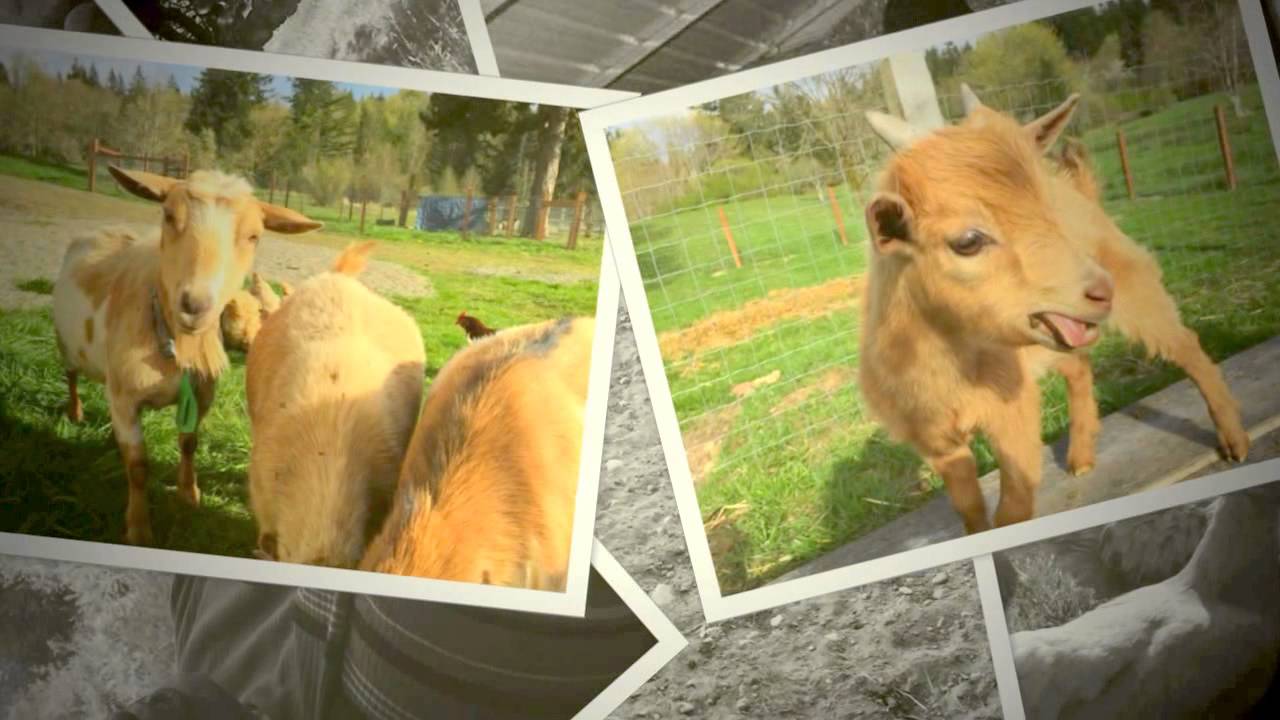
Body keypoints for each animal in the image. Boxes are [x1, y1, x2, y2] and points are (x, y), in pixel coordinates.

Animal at [53, 166, 321, 546]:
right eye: (168, 215)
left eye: (254, 236)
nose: (195, 305)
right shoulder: (126, 398)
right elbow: (138, 467)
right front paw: (139, 529)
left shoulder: (200, 395)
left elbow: (189, 442)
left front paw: (189, 493)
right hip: (65, 342)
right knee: (71, 375)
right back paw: (75, 411)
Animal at [858, 84, 1248, 534]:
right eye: (968, 240)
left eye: (1044, 205)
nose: (1100, 290)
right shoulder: (935, 442)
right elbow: (970, 510)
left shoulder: (1013, 417)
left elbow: (1013, 508)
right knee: (1078, 365)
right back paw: (1081, 456)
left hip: (1136, 285)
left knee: (1184, 342)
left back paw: (1234, 440)